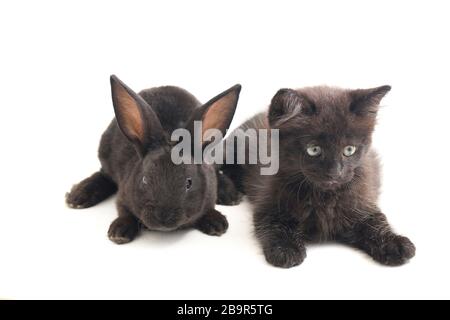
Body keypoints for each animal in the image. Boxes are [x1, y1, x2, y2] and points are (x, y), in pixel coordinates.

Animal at [65, 75, 241, 244]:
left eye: (189, 183)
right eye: (144, 180)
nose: (164, 217)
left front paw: (217, 223)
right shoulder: (123, 195)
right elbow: (124, 211)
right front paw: (119, 232)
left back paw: (231, 196)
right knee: (104, 174)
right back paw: (77, 196)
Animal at [223, 84, 416, 268]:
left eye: (349, 149)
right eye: (314, 149)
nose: (335, 172)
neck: (323, 197)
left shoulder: (362, 199)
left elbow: (375, 221)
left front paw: (394, 243)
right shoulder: (268, 201)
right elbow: (274, 223)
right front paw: (286, 248)